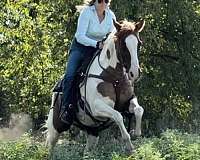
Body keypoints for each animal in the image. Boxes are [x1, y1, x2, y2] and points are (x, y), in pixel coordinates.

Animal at [45, 19, 145, 154]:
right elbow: (118, 116)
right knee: (49, 145)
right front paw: (129, 144)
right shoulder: (96, 107)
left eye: (138, 44)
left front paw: (137, 133)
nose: (135, 73)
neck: (113, 77)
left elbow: (139, 110)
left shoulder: (128, 101)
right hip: (57, 127)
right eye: (124, 45)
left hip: (92, 132)